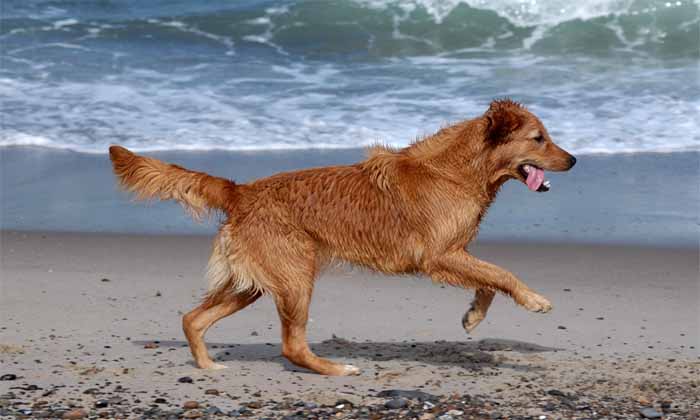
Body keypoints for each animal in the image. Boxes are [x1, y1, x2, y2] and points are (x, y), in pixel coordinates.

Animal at [109, 100, 576, 376]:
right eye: (539, 138)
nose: (573, 159)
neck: (456, 171)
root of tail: (240, 191)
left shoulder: (454, 254)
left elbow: (489, 280)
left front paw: (474, 316)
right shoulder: (439, 255)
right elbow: (502, 273)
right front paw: (534, 300)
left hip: (254, 283)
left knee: (193, 318)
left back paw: (208, 365)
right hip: (295, 278)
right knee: (291, 345)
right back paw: (336, 369)